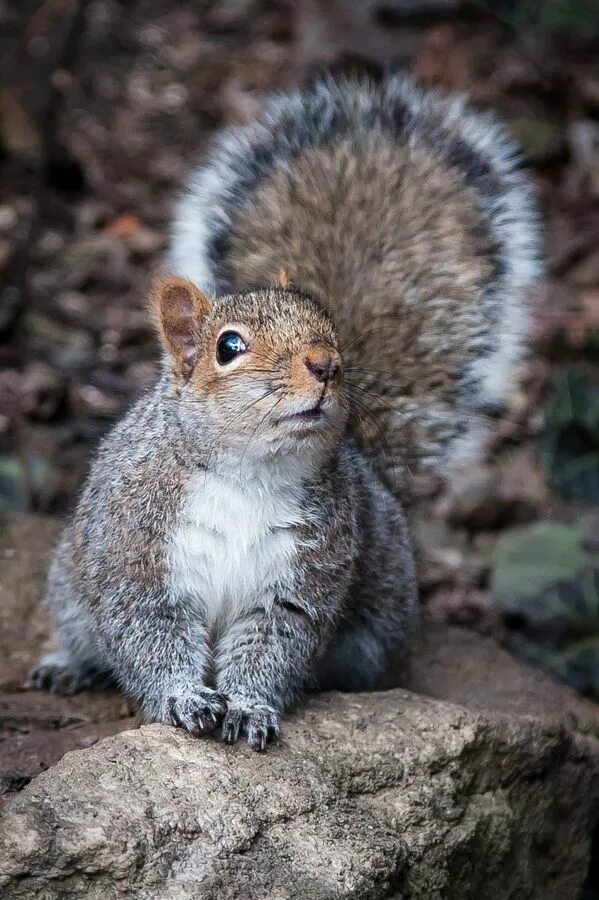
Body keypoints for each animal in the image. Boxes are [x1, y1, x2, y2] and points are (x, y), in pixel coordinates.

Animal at [29, 77, 544, 748]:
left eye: (329, 325)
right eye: (228, 347)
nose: (327, 364)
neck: (249, 472)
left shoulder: (299, 577)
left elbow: (271, 645)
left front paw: (248, 708)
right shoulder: (137, 553)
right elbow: (150, 634)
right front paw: (185, 698)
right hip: (70, 587)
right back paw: (67, 667)